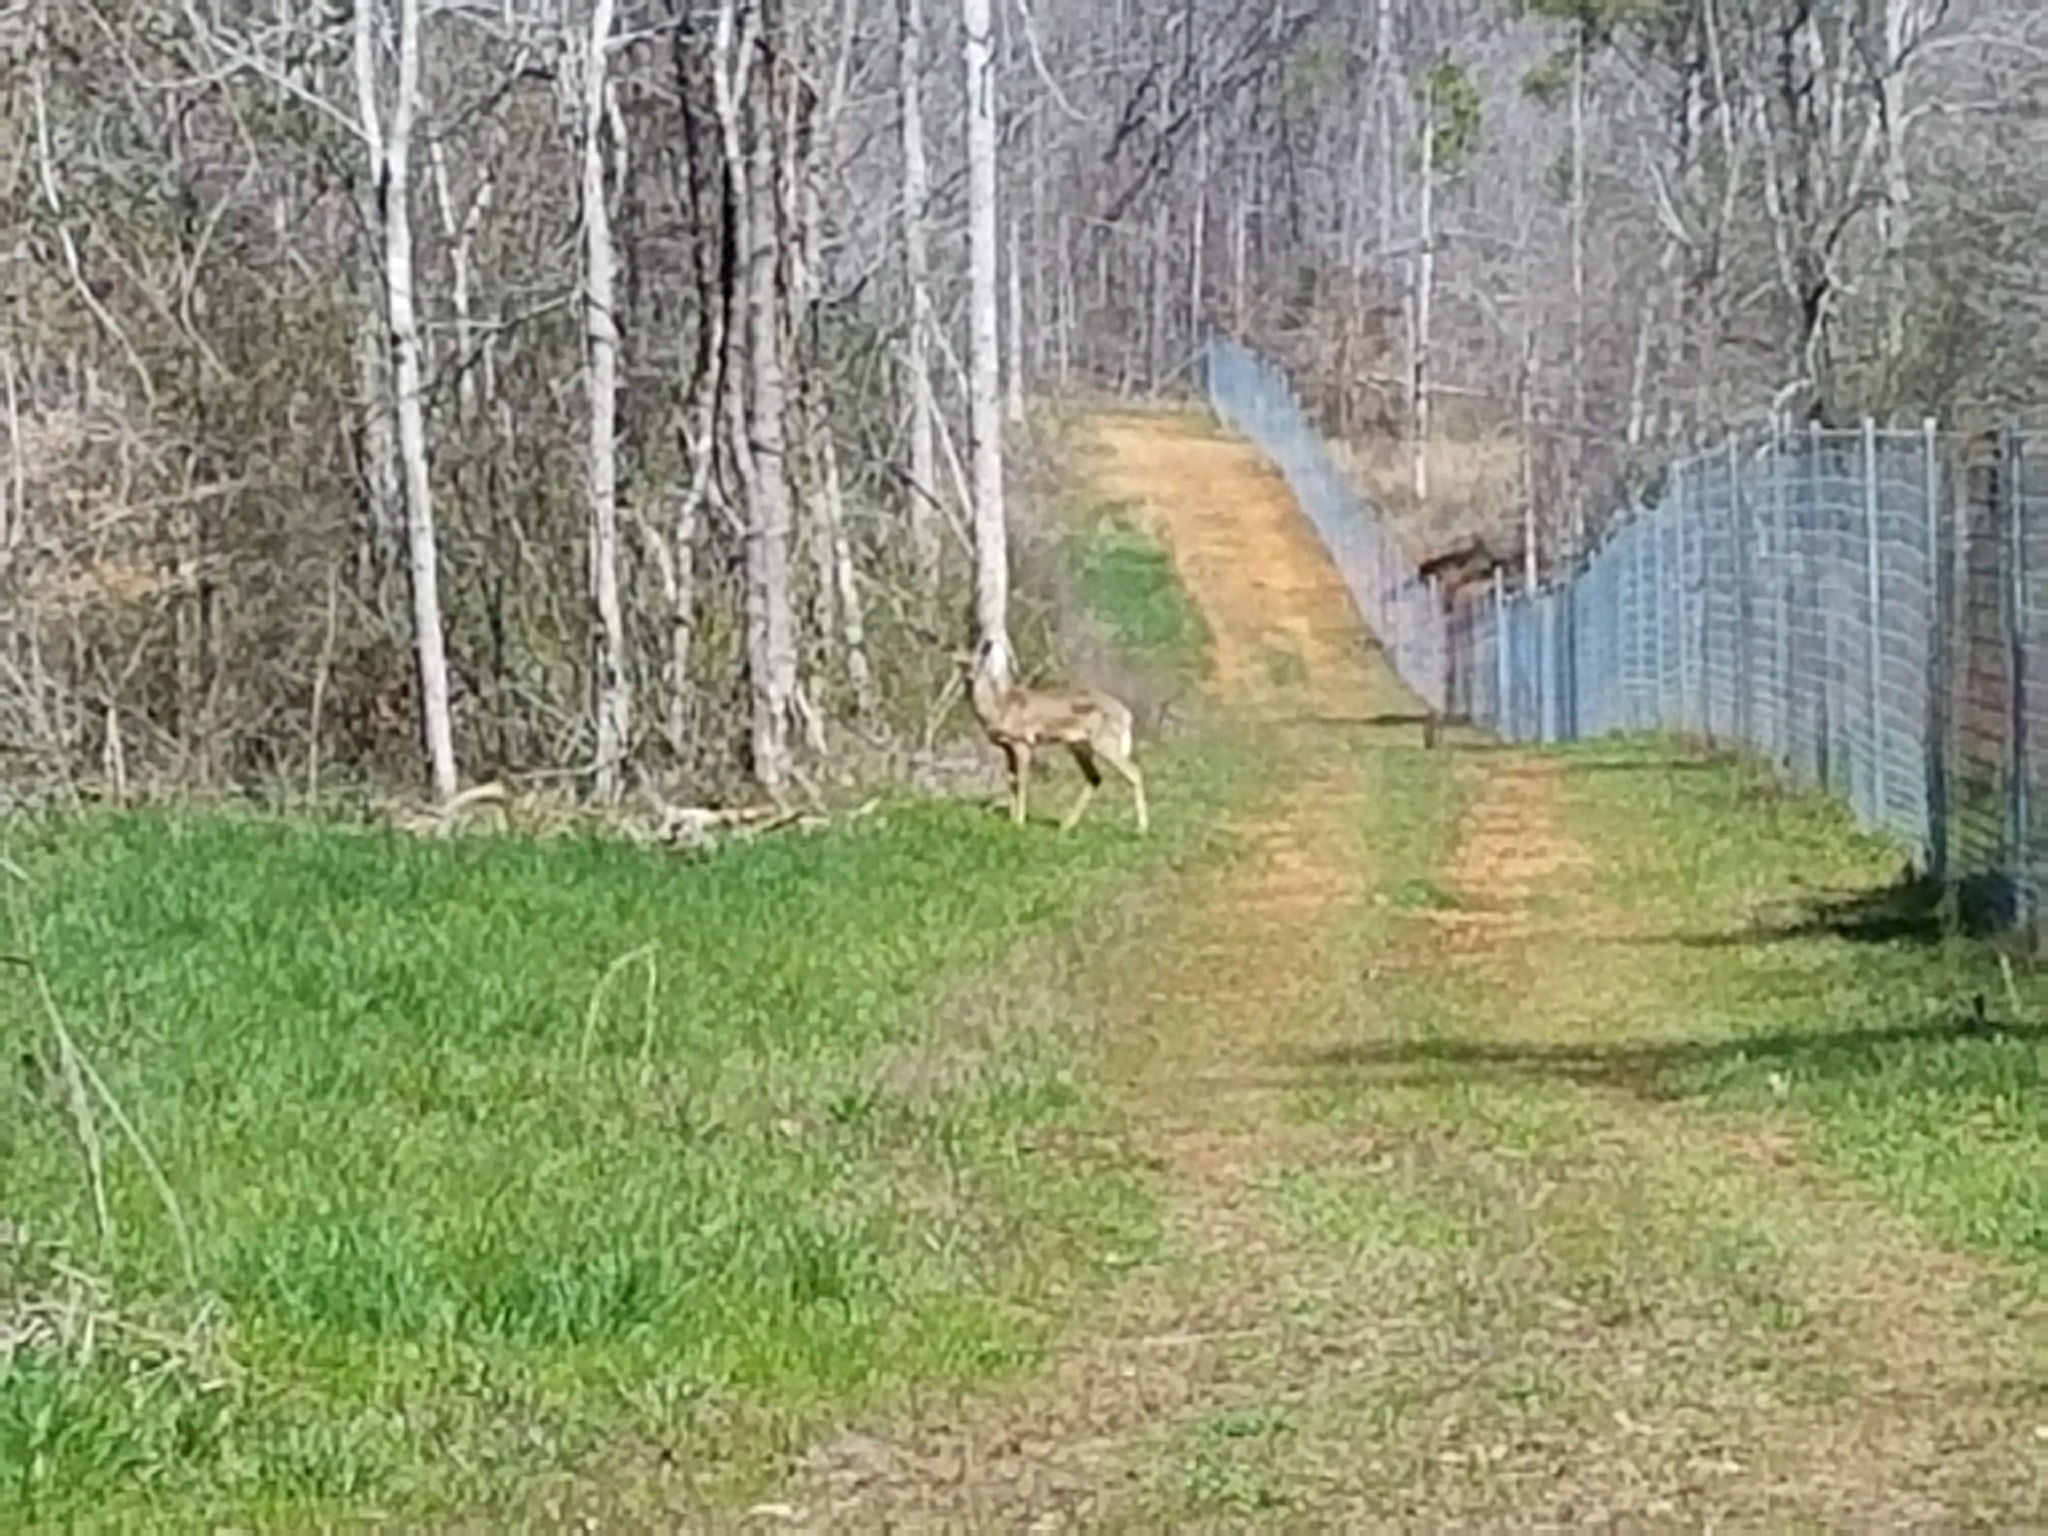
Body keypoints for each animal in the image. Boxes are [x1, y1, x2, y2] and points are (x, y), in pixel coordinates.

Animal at [953, 638, 1149, 834]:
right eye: (960, 664)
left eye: (978, 663)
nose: (969, 677)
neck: (999, 708)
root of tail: (1126, 714)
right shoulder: (1007, 747)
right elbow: (1011, 780)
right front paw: (1011, 819)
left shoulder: (1023, 742)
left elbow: (1022, 781)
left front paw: (1020, 822)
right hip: (1080, 745)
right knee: (1094, 778)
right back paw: (1066, 825)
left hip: (1105, 741)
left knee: (1134, 772)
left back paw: (1142, 828)